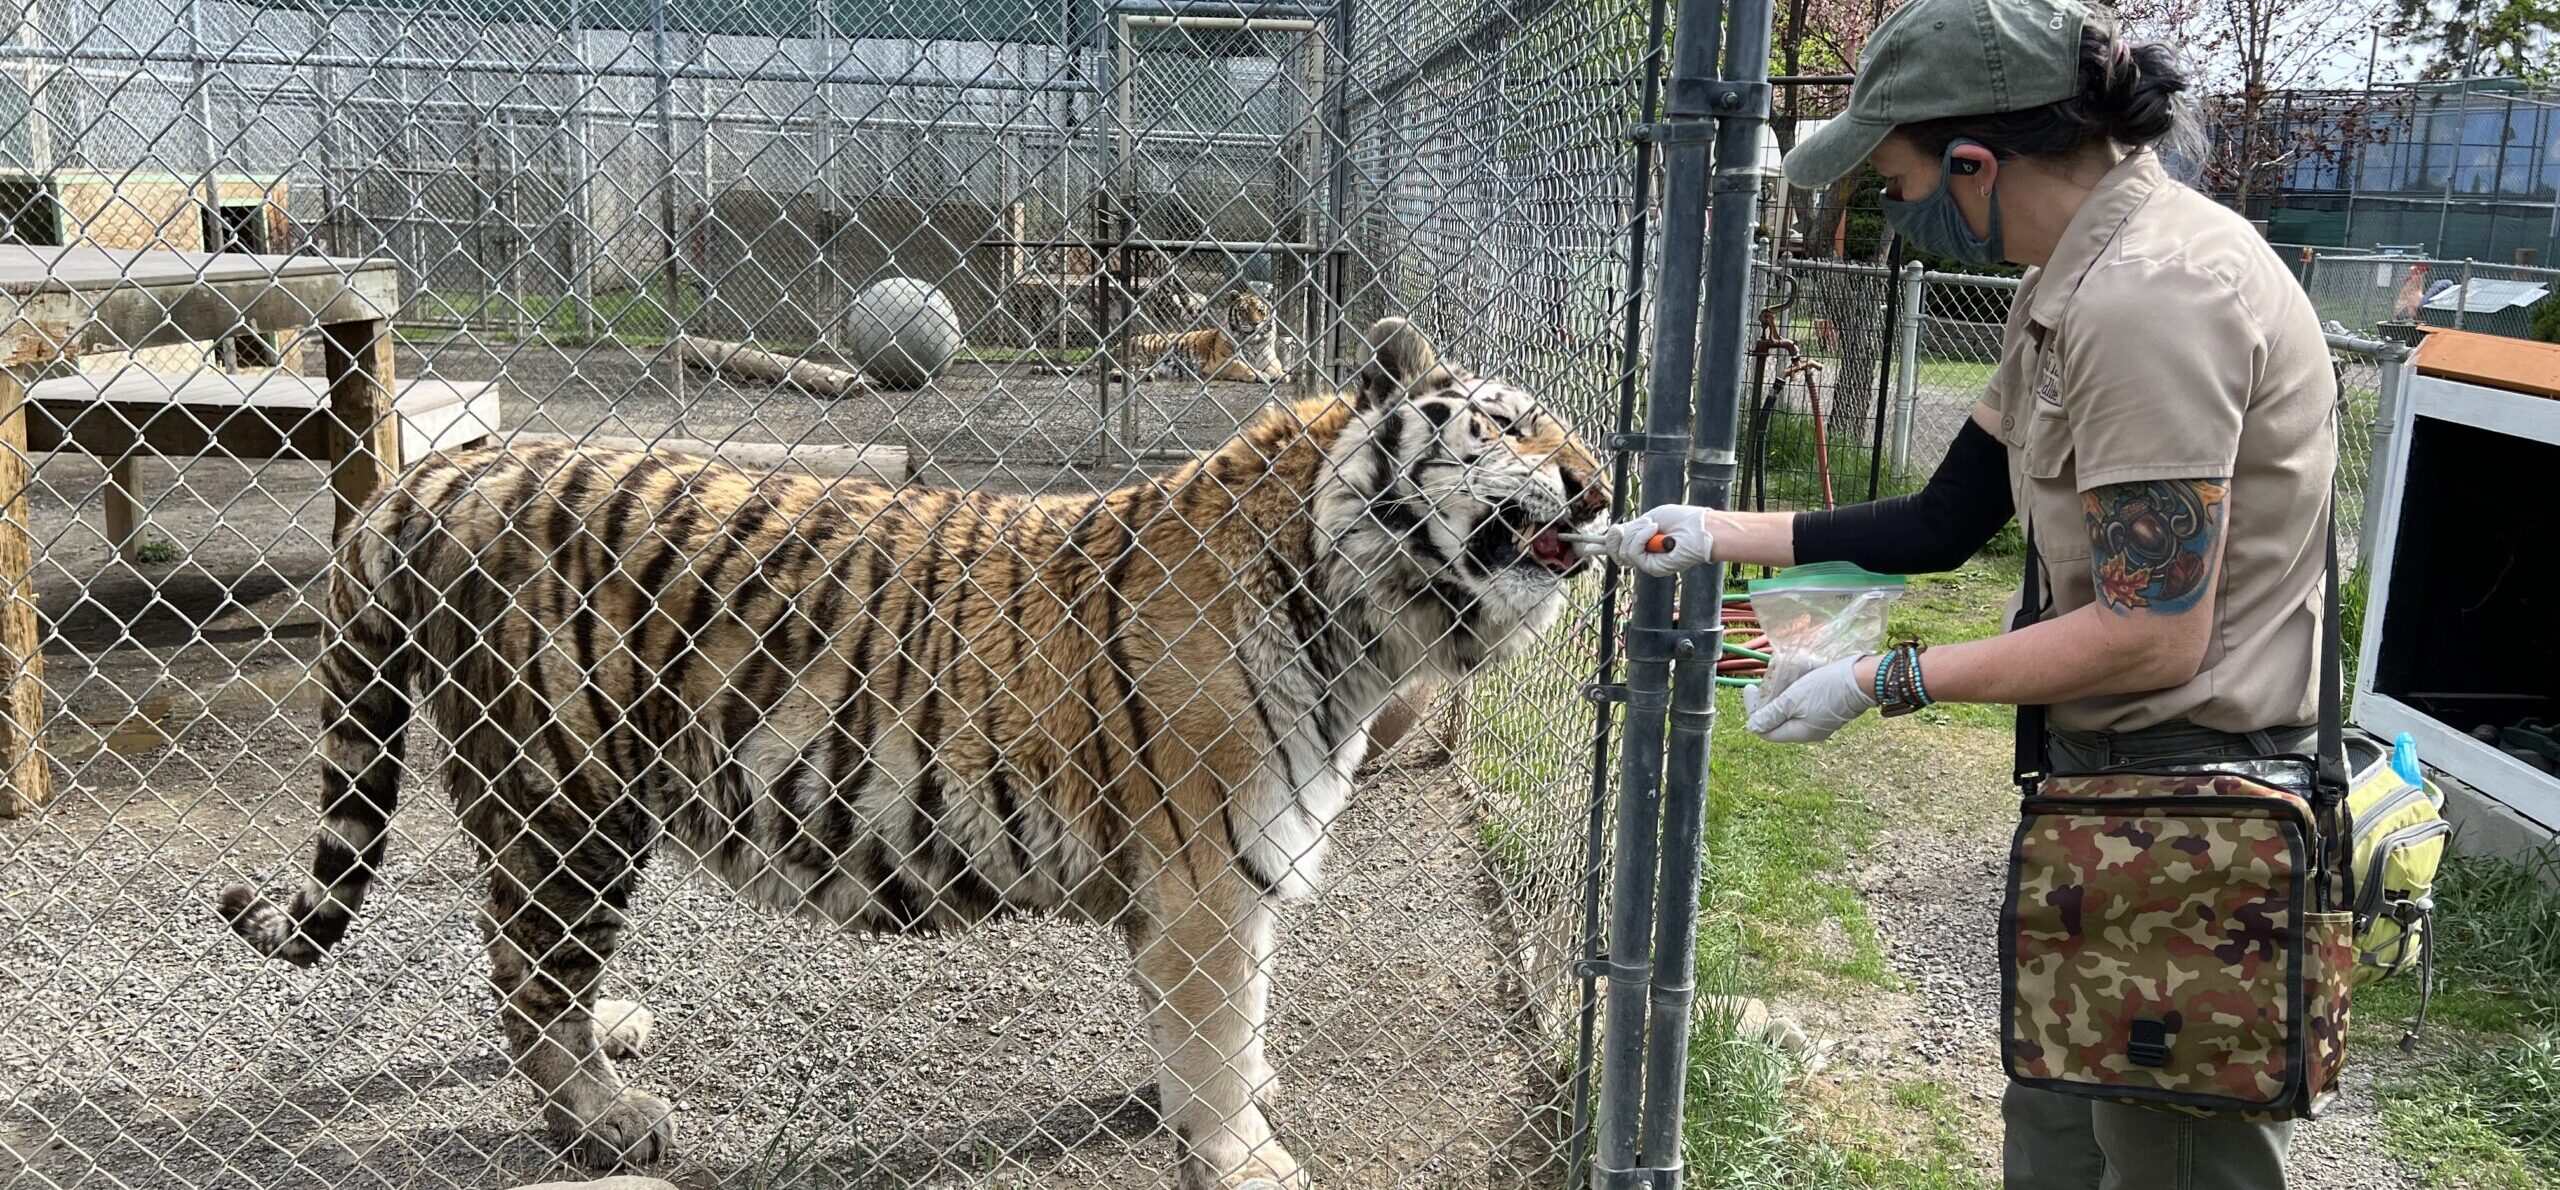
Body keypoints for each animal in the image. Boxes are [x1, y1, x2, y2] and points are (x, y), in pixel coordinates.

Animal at [216, 317, 1609, 1189]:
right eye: (1511, 430)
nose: (1601, 486)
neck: (1359, 611)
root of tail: (443, 470)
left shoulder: (1224, 873)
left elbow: (1225, 1019)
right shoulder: (1207, 872)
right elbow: (1218, 1026)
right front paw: (1241, 1151)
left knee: (525, 964)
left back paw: (612, 1028)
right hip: (569, 796)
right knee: (521, 971)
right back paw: (607, 1118)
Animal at [1114, 286, 1287, 383]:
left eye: (1260, 310)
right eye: (1244, 311)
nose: (1255, 323)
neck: (1252, 342)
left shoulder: (1269, 358)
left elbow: (1276, 367)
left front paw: (1281, 375)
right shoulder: (1219, 363)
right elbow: (1242, 366)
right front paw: (1259, 375)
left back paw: (1148, 377)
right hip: (1139, 356)